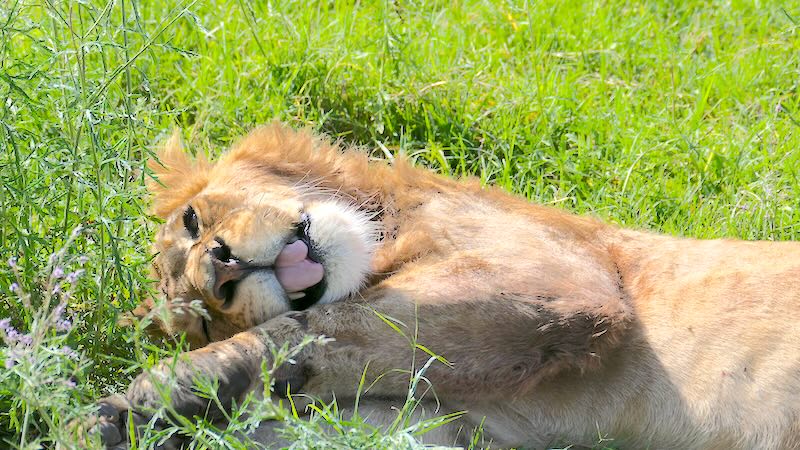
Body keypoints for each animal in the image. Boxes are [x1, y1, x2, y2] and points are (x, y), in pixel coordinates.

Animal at [94, 123, 800, 449]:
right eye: (203, 315)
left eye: (192, 221)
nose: (221, 271)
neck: (383, 239)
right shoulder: (442, 426)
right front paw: (136, 418)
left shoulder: (558, 283)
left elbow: (316, 326)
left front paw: (154, 392)